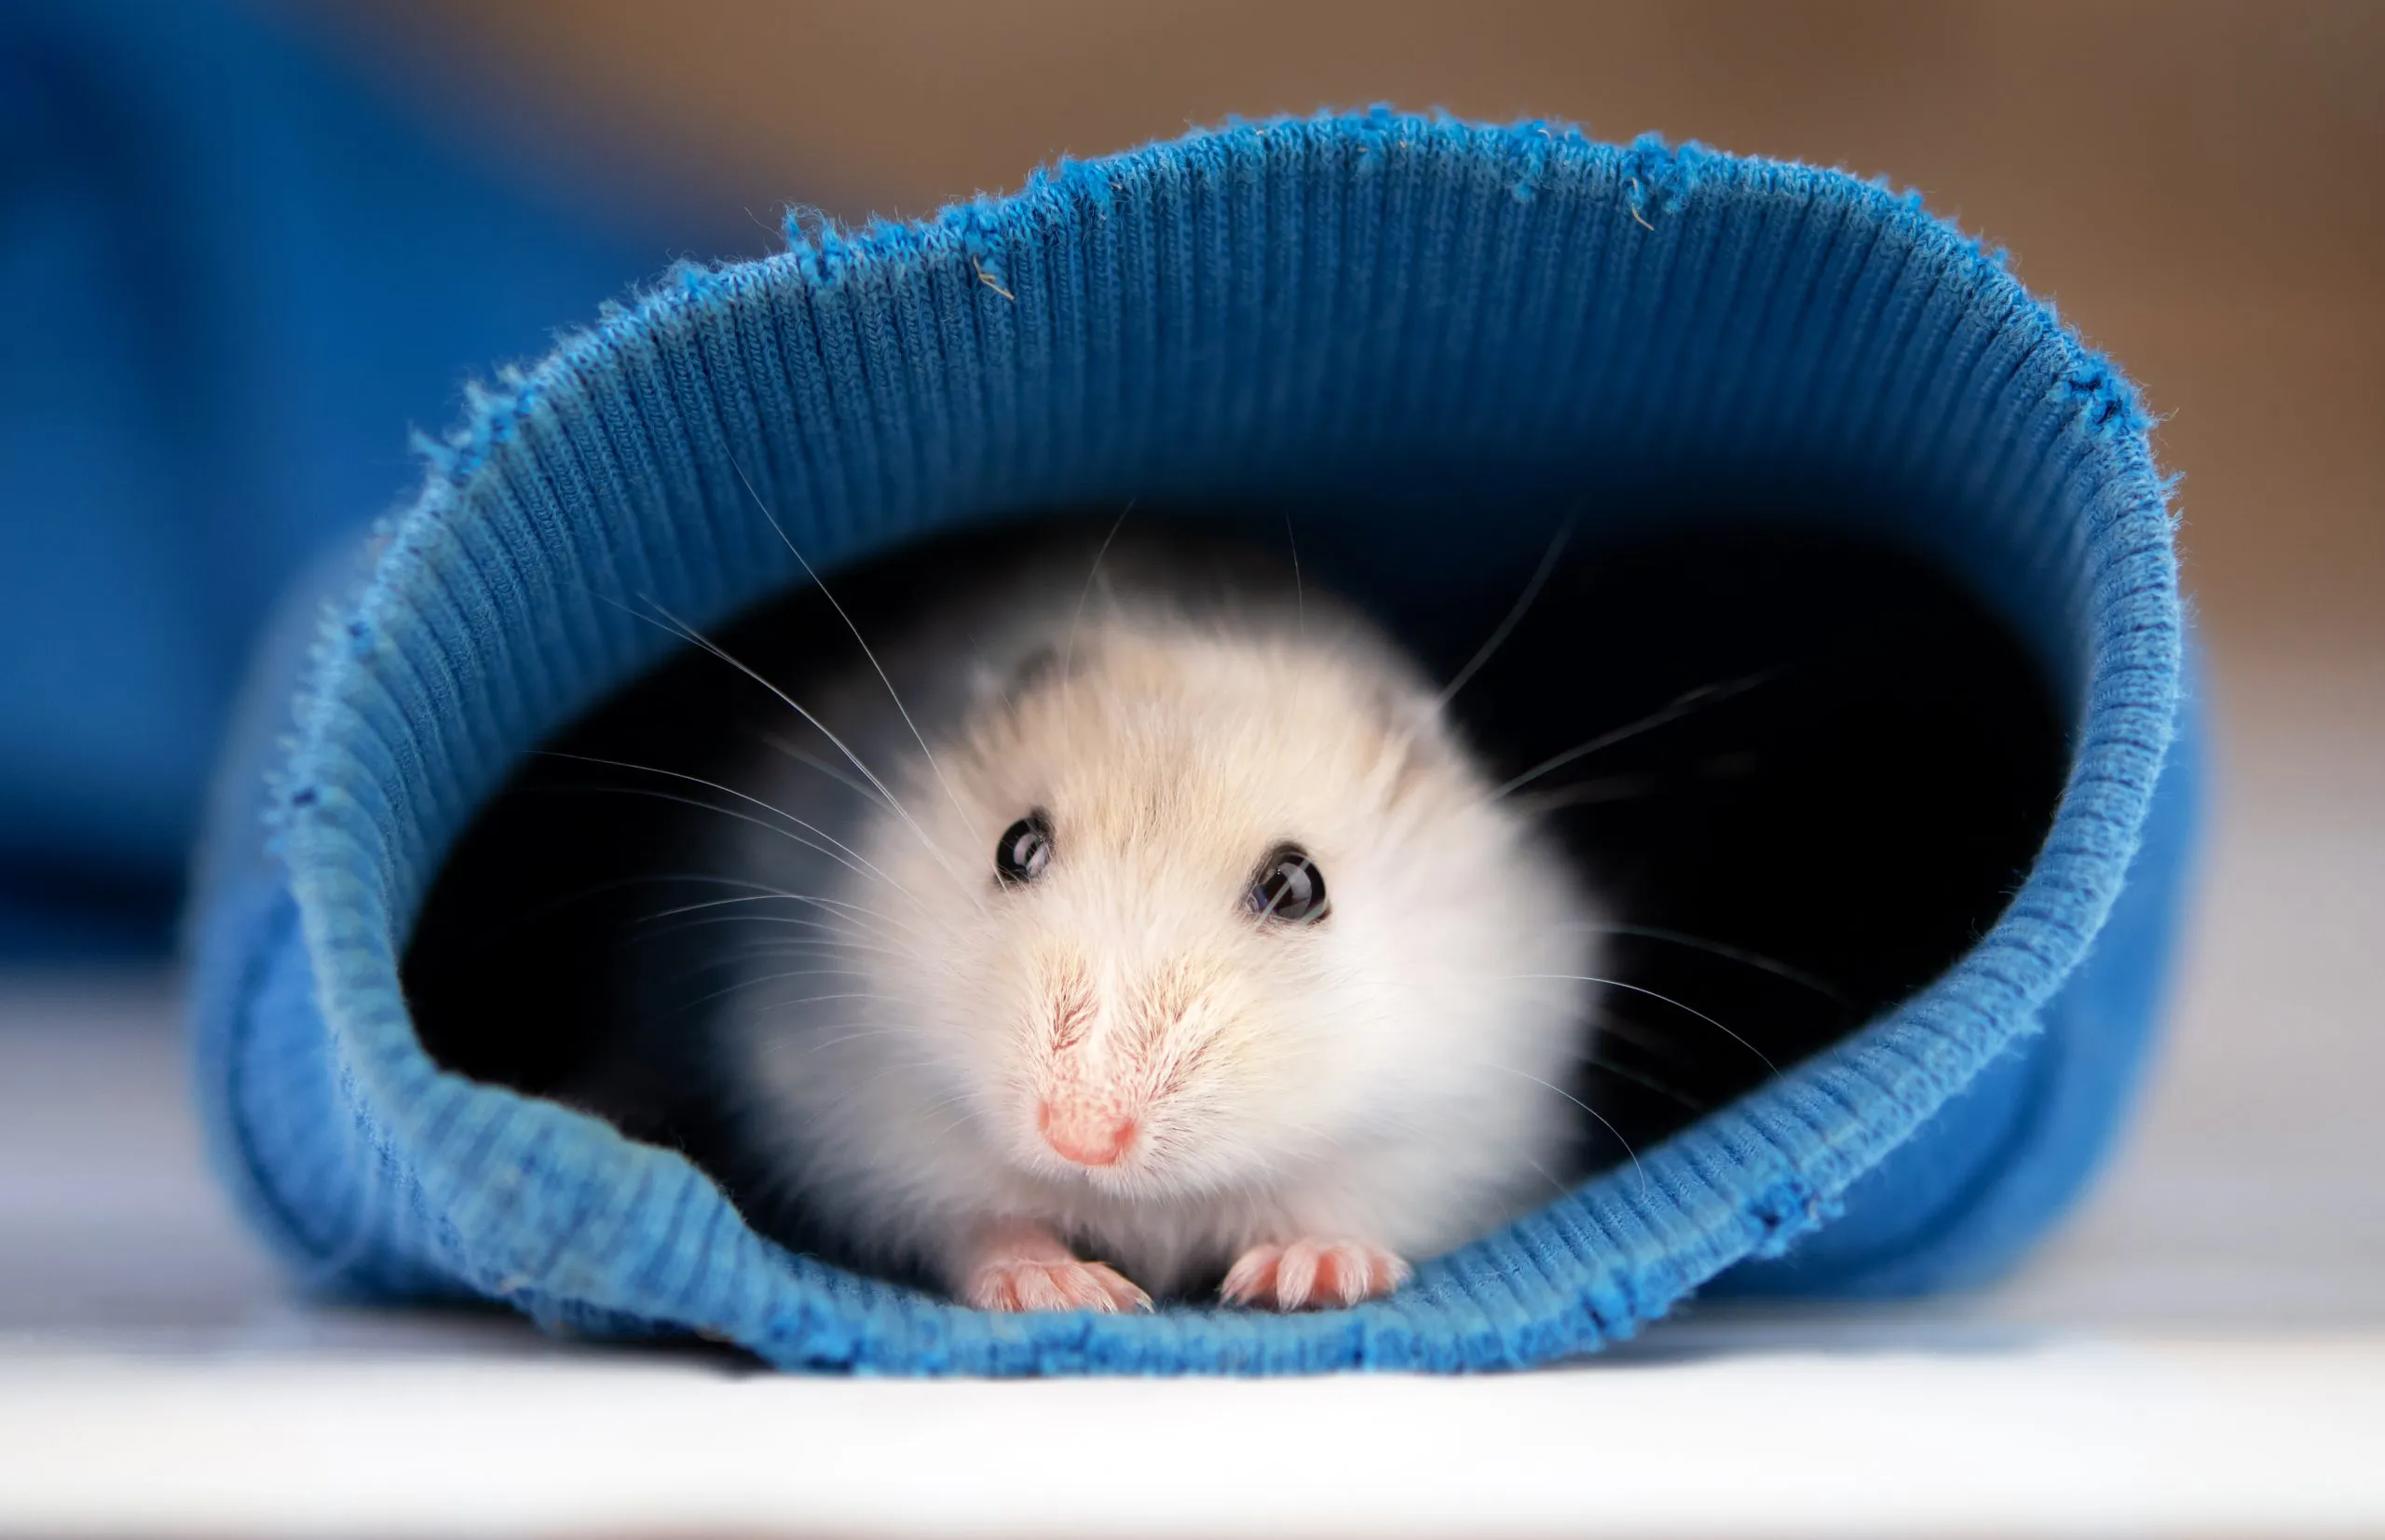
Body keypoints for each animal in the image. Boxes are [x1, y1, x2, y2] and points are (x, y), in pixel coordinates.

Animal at [613, 530, 1601, 1312]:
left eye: (1298, 886)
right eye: (1015, 846)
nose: (1081, 1134)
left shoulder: (1459, 1123)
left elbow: (1341, 1199)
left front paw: (1308, 1274)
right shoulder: (851, 1110)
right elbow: (977, 1217)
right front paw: (1070, 1291)